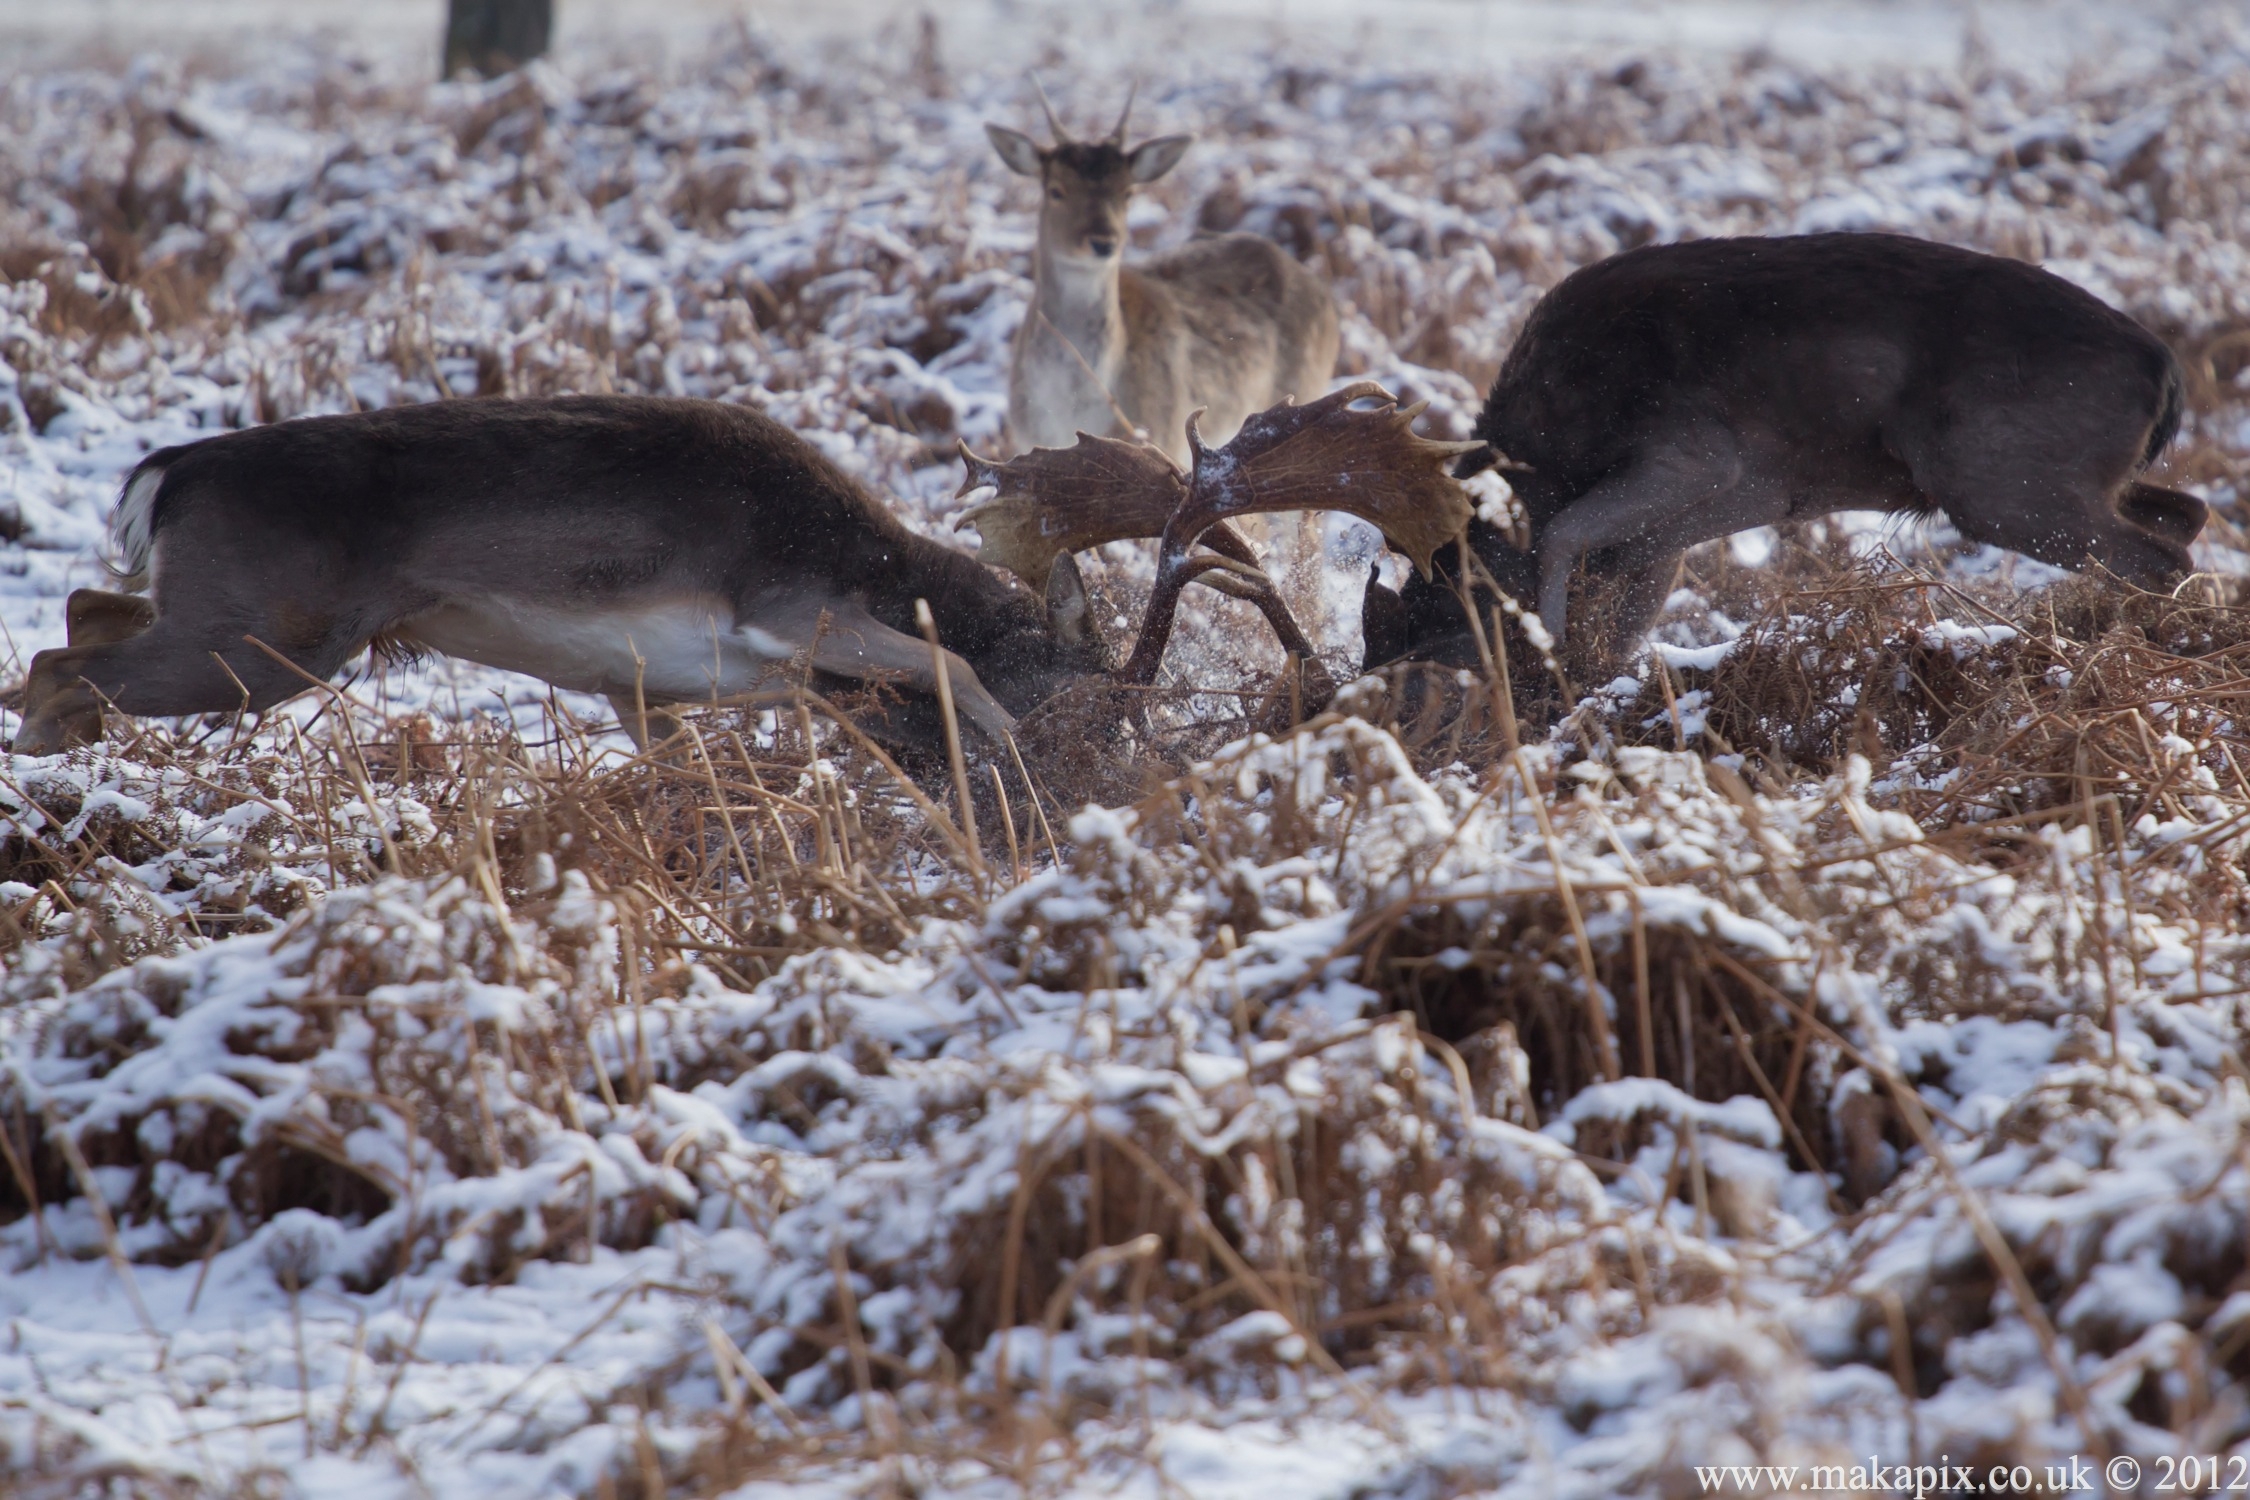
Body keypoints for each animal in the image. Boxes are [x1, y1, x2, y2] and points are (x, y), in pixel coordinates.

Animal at [13, 386, 1458, 764]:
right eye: (1086, 707)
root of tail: (168, 473)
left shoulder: (645, 691)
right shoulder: (789, 611)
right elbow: (944, 660)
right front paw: (992, 748)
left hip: (236, 627)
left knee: (77, 616)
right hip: (265, 638)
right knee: (61, 653)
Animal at [1359, 231, 2205, 679]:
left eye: (1441, 613)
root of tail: (2165, 374)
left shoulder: (1695, 451)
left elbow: (1565, 538)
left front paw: (1554, 644)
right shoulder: (1695, 520)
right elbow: (1630, 606)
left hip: (2000, 481)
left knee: (2162, 554)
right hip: (2060, 480)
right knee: (2186, 512)